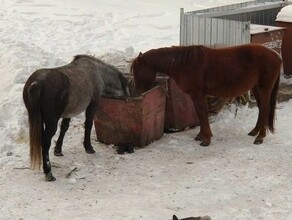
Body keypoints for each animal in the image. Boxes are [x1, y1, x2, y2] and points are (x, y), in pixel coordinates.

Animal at [131, 43, 282, 146]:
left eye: (137, 71)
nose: (138, 91)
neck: (185, 63)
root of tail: (276, 55)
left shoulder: (198, 94)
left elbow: (202, 114)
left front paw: (206, 139)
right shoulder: (196, 96)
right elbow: (200, 114)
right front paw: (201, 135)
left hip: (264, 88)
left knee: (266, 108)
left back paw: (260, 137)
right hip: (256, 88)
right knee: (262, 109)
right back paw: (255, 131)